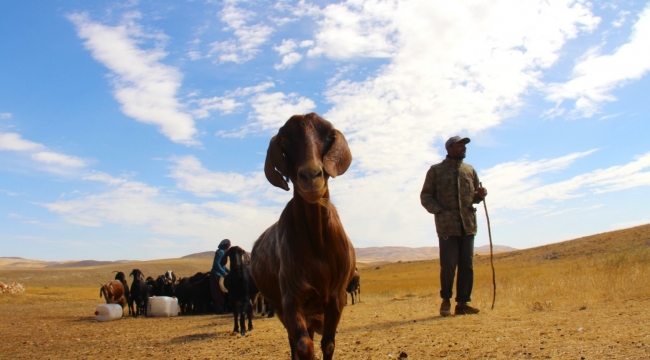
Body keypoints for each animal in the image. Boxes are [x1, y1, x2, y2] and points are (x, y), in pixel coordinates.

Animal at [252, 113, 354, 360]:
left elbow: (328, 344)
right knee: (292, 340)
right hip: (281, 308)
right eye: (284, 140)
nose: (310, 175)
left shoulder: (337, 298)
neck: (318, 246)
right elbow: (303, 345)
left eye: (328, 135)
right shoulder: (291, 298)